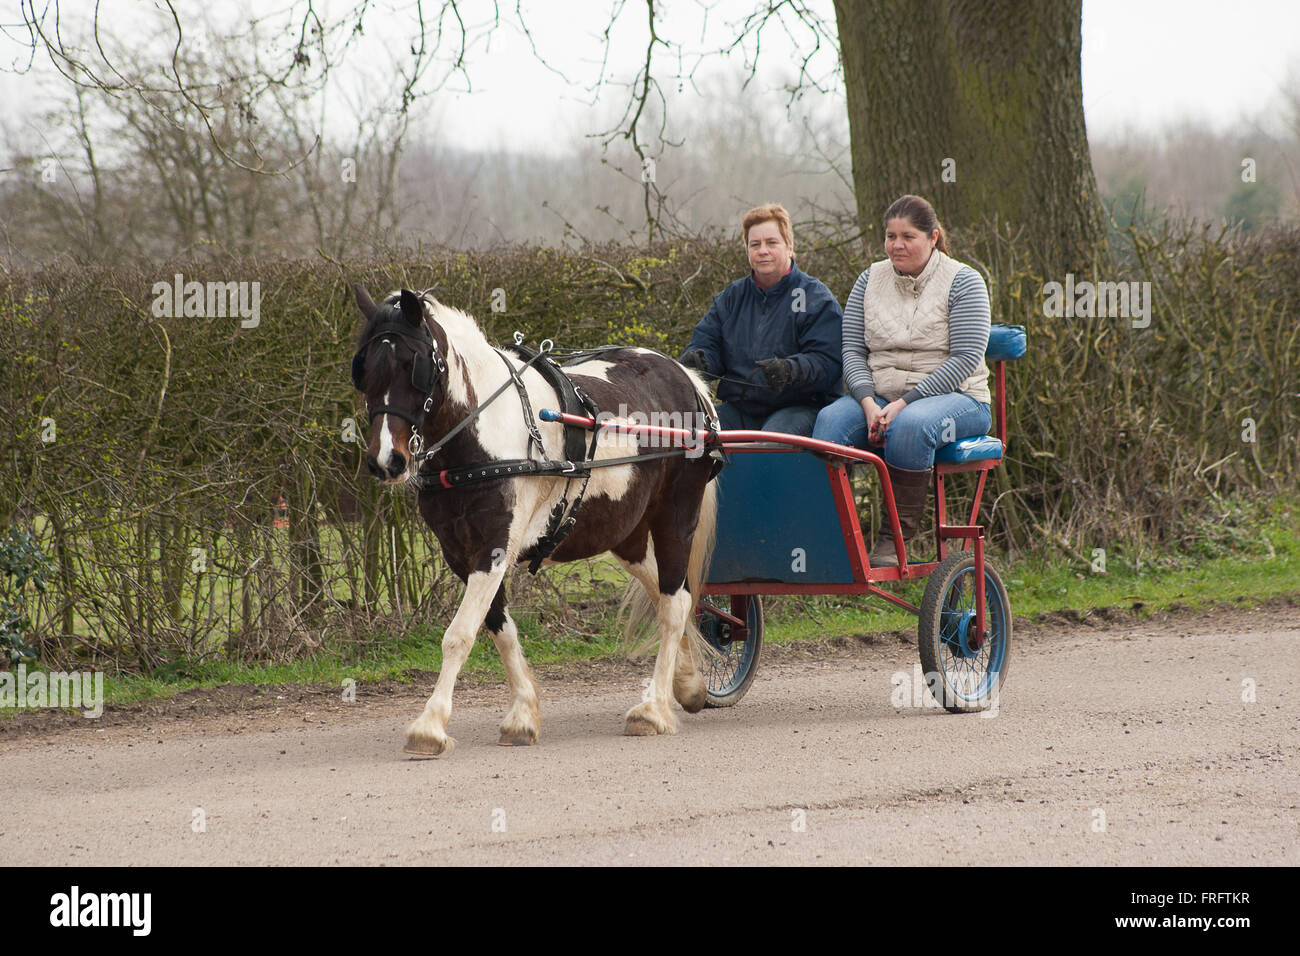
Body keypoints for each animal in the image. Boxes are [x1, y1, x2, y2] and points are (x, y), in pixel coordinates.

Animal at [351, 283, 722, 754]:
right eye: (363, 369)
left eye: (411, 366)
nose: (387, 461)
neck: (480, 438)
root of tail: (686, 378)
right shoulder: (460, 553)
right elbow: (499, 629)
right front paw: (523, 715)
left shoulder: (492, 547)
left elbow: (459, 634)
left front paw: (429, 725)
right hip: (625, 534)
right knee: (665, 593)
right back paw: (688, 683)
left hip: (676, 514)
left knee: (675, 603)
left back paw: (653, 709)